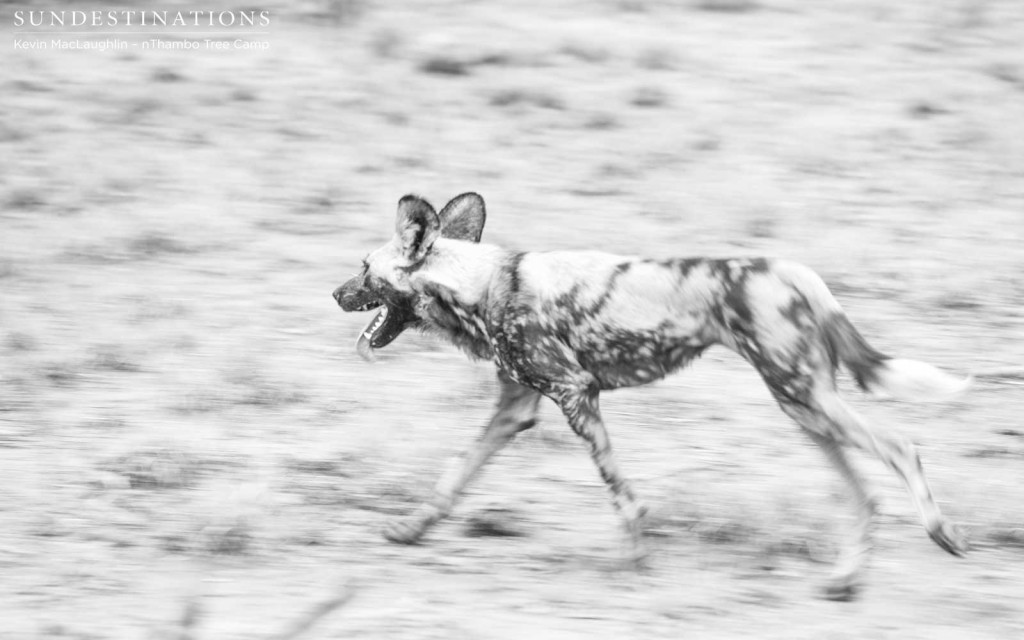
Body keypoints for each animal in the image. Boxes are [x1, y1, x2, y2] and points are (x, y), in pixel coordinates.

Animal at [331, 193, 970, 598]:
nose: (334, 293)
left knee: (901, 446)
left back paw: (941, 535)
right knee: (865, 494)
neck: (483, 285)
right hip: (803, 406)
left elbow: (622, 495)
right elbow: (454, 475)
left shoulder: (575, 395)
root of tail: (794, 270)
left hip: (802, 396)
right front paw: (410, 531)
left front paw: (635, 559)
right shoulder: (515, 409)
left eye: (364, 268)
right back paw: (845, 581)